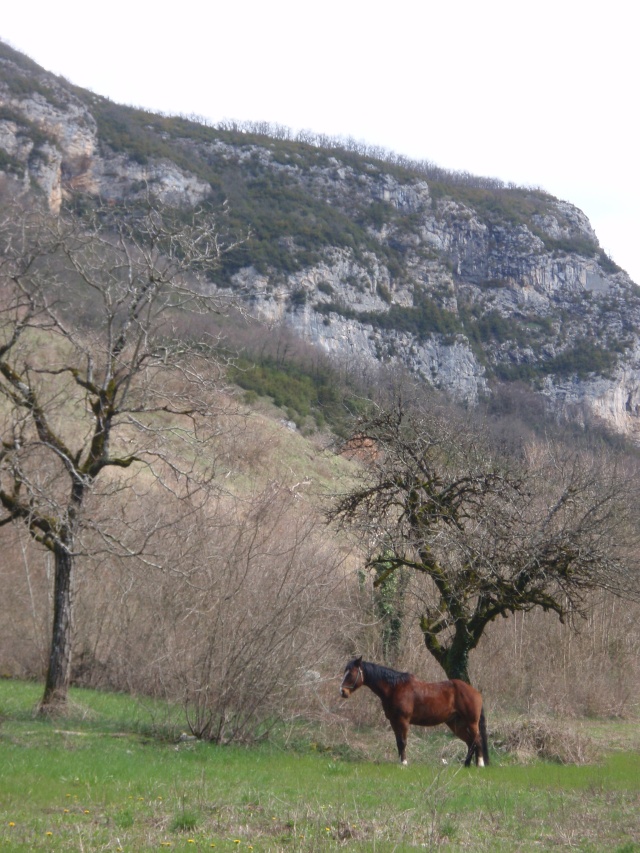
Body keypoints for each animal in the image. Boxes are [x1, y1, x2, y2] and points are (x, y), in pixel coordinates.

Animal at [340, 656, 490, 768]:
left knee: (477, 740)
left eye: (351, 673)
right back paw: (466, 764)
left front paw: (404, 763)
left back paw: (480, 764)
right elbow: (398, 742)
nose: (342, 692)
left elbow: (403, 742)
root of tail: (475, 692)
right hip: (456, 724)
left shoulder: (403, 720)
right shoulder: (393, 721)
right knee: (470, 743)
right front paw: (400, 762)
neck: (395, 688)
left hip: (471, 723)